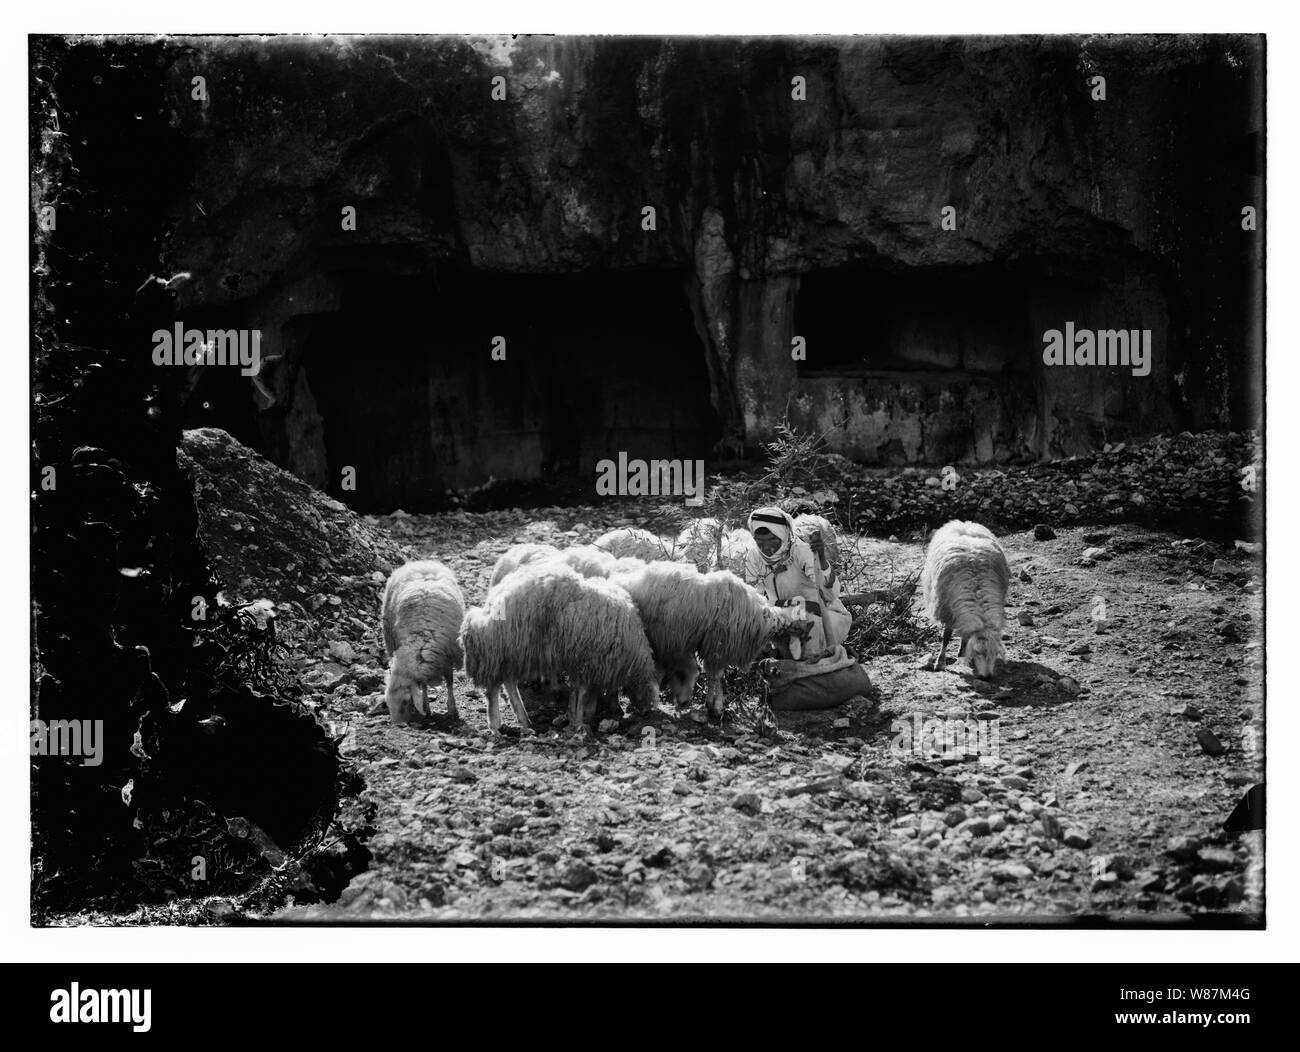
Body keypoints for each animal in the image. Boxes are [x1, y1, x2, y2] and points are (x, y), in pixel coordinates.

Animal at [380, 560, 466, 724]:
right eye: (387, 702)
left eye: (406, 701)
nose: (397, 724)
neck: (423, 639)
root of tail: (422, 563)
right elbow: (424, 685)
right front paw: (426, 707)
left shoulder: (448, 657)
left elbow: (450, 683)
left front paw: (453, 710)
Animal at [460, 561, 659, 733]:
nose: (646, 713)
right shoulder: (587, 661)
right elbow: (581, 692)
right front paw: (579, 720)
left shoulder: (589, 664)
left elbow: (584, 692)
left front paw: (581, 714)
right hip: (503, 646)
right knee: (494, 687)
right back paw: (495, 724)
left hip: (513, 652)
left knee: (508, 683)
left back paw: (524, 720)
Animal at [609, 561, 814, 721]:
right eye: (800, 640)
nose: (799, 660)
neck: (761, 619)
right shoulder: (718, 646)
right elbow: (715, 675)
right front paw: (716, 707)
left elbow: (708, 674)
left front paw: (709, 703)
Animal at [920, 519, 1010, 679]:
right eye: (977, 652)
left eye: (995, 653)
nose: (987, 677)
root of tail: (964, 524)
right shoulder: (947, 610)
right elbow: (946, 636)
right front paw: (940, 663)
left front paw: (962, 653)